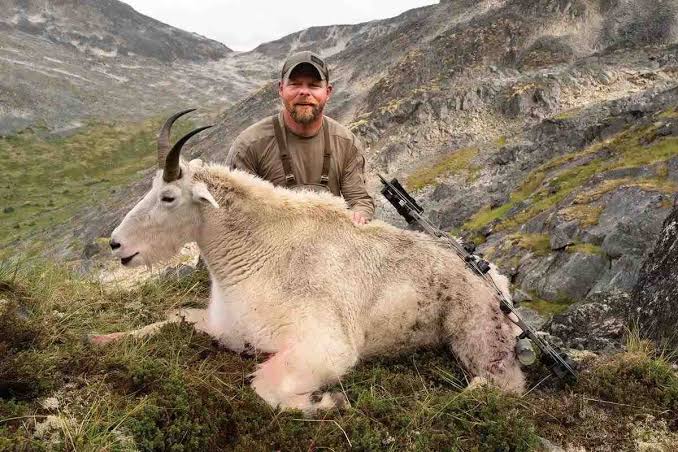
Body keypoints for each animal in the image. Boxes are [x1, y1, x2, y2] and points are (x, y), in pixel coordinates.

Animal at [107, 110, 525, 413]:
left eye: (168, 197)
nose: (116, 244)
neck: (259, 257)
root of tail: (498, 282)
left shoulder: (325, 347)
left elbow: (265, 388)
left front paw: (330, 401)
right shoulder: (220, 326)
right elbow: (166, 319)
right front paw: (103, 339)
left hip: (477, 335)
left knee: (503, 384)